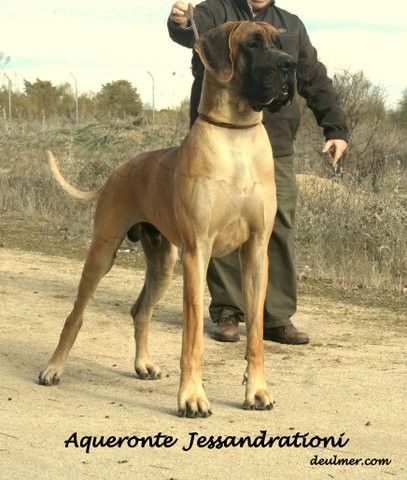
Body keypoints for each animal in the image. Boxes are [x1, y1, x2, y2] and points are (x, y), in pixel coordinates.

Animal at [39, 21, 295, 418]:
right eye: (252, 44)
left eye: (280, 42)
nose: (290, 65)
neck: (236, 139)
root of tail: (116, 172)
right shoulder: (197, 252)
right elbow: (192, 338)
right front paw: (191, 397)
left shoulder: (255, 252)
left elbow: (254, 334)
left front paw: (256, 391)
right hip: (102, 253)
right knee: (75, 316)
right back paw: (54, 368)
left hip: (162, 263)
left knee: (139, 311)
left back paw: (144, 364)